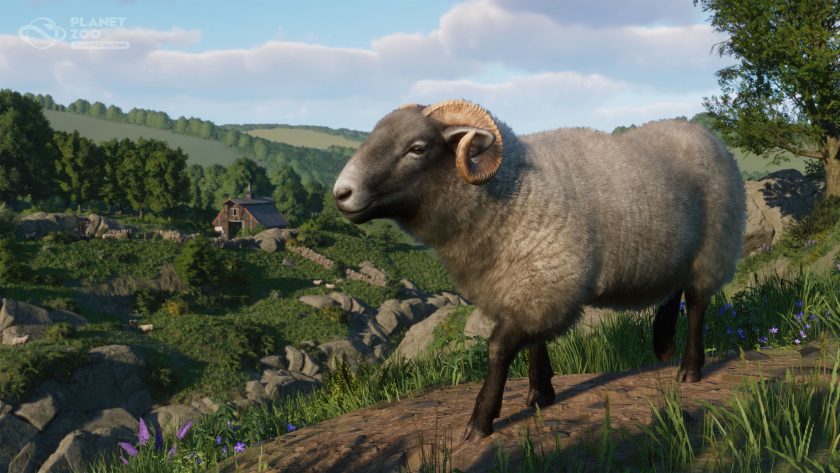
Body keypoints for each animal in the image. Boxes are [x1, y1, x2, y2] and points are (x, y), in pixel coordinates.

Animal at [333, 99, 746, 440]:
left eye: (417, 148)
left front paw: (481, 421)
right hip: (678, 251)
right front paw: (539, 393)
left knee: (696, 303)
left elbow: (499, 348)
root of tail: (702, 131)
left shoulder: (545, 279)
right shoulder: (533, 283)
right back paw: (662, 344)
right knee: (673, 291)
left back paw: (690, 368)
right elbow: (534, 340)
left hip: (714, 246)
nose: (341, 193)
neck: (512, 189)